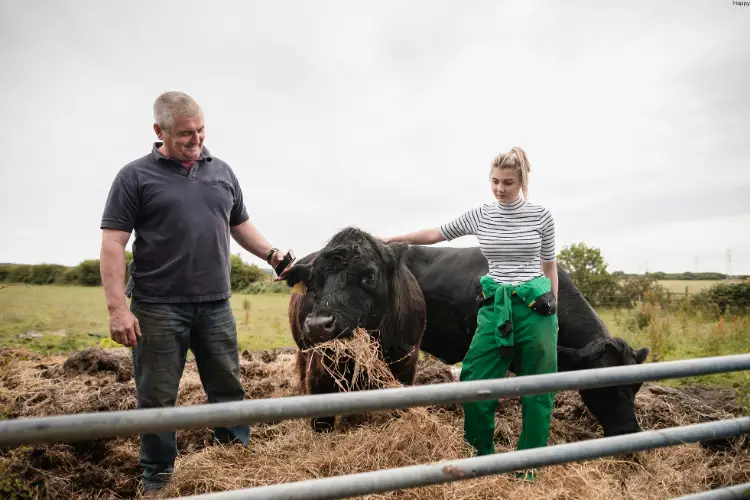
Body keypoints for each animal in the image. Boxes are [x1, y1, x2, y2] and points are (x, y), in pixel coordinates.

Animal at [284, 229, 428, 432]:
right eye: (312, 280)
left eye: (369, 276)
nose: (318, 325)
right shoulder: (319, 370)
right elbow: (321, 420)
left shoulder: (407, 365)